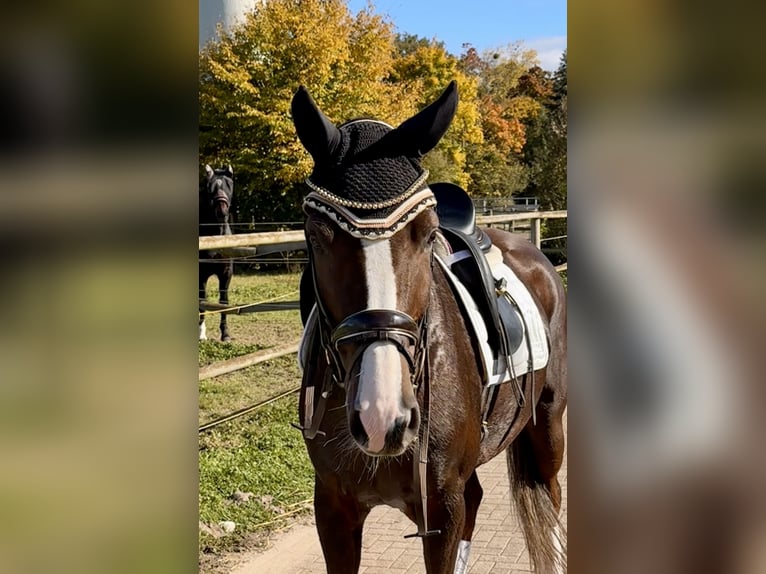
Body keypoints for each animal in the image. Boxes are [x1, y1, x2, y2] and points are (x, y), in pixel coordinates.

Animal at [292, 81, 567, 573]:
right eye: (316, 235)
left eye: (427, 232)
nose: (382, 416)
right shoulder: (333, 508)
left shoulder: (441, 509)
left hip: (548, 425)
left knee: (551, 499)